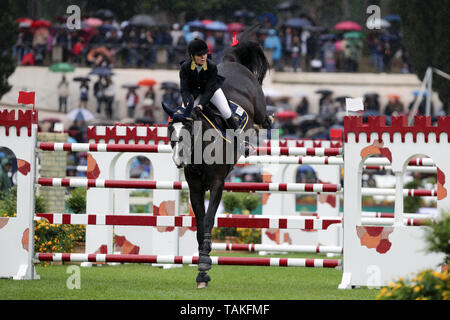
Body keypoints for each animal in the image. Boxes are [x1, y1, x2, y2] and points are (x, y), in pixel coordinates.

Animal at [163, 25, 272, 288]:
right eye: (170, 130)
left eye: (189, 129)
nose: (179, 160)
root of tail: (231, 61)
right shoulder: (194, 188)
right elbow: (200, 222)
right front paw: (202, 270)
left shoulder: (216, 184)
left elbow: (210, 219)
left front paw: (204, 263)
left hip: (257, 106)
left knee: (264, 120)